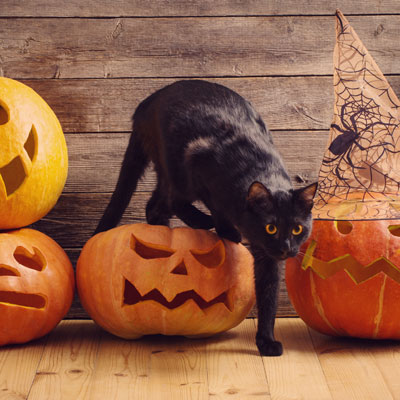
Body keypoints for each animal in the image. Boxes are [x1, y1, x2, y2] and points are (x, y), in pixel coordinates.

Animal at [95, 80, 318, 356]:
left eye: (297, 229)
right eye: (271, 228)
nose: (286, 248)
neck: (262, 172)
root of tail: (146, 103)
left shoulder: (268, 257)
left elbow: (268, 295)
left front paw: (266, 341)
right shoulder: (199, 163)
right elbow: (216, 207)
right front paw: (226, 230)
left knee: (155, 206)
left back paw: (162, 229)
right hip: (177, 167)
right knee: (168, 202)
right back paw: (199, 223)